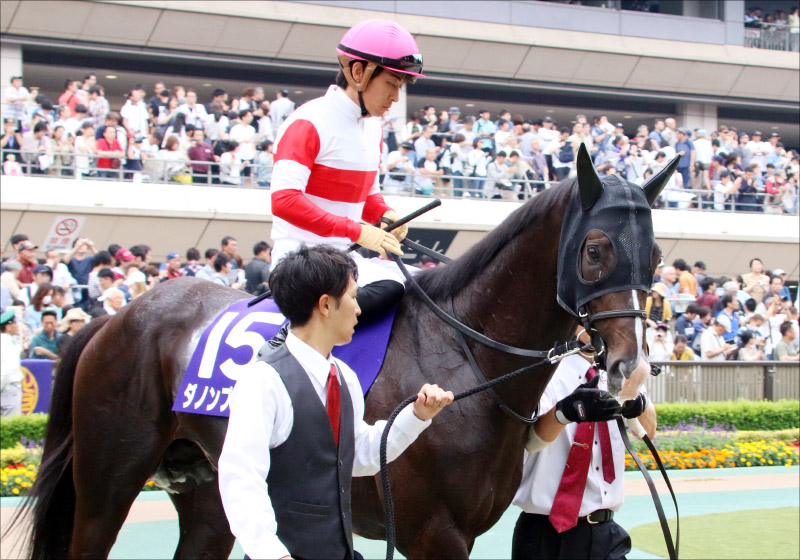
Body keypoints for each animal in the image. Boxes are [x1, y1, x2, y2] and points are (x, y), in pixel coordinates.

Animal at [15, 146, 677, 559]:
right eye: (595, 249)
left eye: (655, 254)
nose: (632, 367)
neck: (466, 352)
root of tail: (113, 319)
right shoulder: (433, 535)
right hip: (108, 479)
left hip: (214, 490)